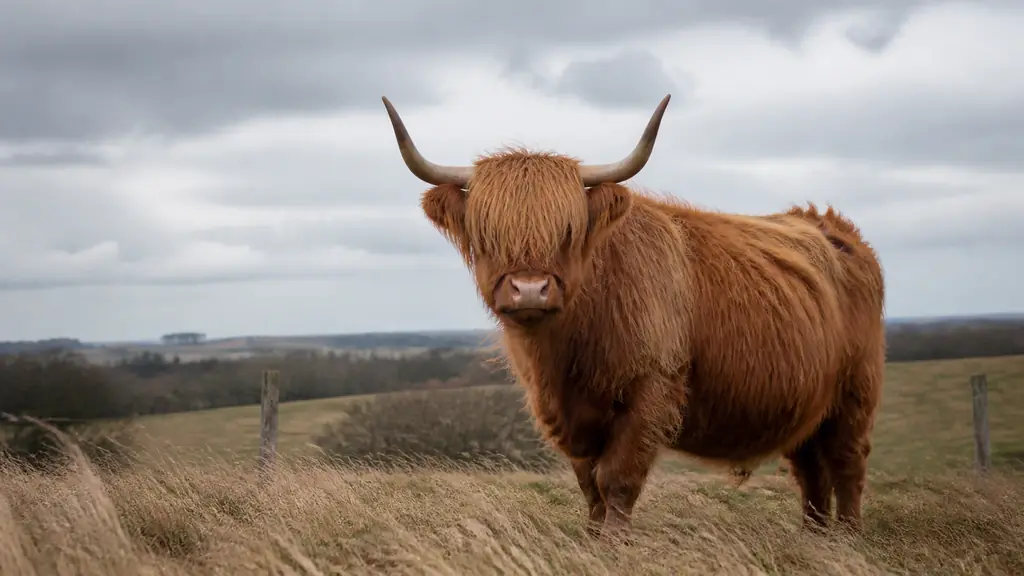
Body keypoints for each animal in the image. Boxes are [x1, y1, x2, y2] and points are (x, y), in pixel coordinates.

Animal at [379, 94, 886, 541]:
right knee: (811, 470)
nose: (530, 290)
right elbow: (589, 484)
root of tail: (831, 224)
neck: (568, 351)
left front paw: (615, 544)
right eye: (487, 233)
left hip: (855, 392)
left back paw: (847, 538)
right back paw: (813, 539)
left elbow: (617, 478)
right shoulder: (568, 414)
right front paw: (591, 538)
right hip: (810, 402)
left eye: (568, 230)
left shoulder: (652, 390)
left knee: (847, 461)